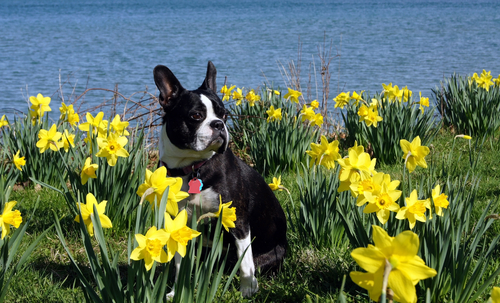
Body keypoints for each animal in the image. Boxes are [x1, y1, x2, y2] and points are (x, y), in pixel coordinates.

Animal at [154, 61, 290, 296]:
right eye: (196, 116)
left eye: (225, 115)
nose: (218, 124)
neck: (194, 167)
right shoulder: (179, 223)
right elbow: (179, 262)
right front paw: (175, 292)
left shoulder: (237, 220)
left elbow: (245, 263)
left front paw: (247, 291)